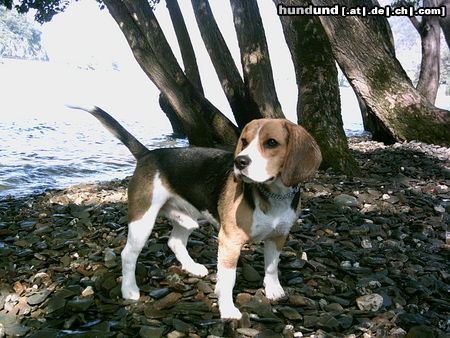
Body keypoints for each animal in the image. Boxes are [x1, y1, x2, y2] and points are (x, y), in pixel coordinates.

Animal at [74, 106, 320, 320]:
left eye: (271, 143)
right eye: (245, 142)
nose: (239, 162)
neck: (273, 194)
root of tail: (148, 154)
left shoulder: (278, 236)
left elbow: (272, 266)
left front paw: (273, 290)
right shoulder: (230, 241)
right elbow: (228, 280)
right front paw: (227, 309)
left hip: (187, 217)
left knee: (174, 241)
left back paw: (192, 267)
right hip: (142, 219)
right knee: (128, 255)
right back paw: (130, 290)